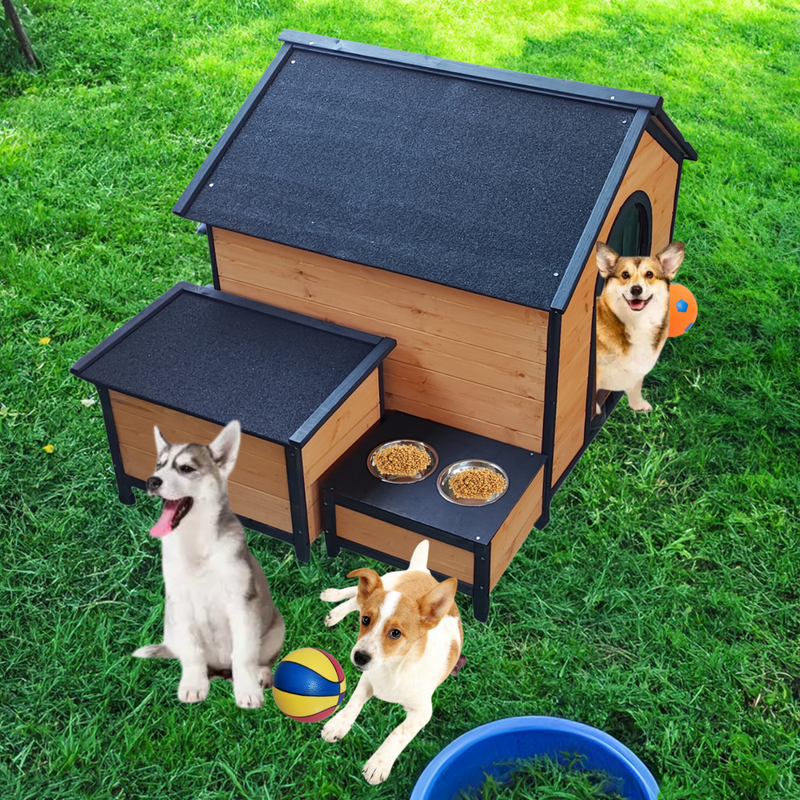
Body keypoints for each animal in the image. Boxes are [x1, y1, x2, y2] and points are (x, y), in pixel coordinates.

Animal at [135, 418, 288, 708]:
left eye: (186, 468)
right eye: (159, 465)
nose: (151, 481)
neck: (196, 544)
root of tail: (220, 671)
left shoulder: (241, 603)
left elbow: (243, 653)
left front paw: (248, 692)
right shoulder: (180, 603)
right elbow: (193, 652)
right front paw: (193, 687)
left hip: (275, 629)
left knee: (260, 659)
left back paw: (260, 675)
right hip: (170, 624)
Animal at [322, 540, 466, 784]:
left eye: (396, 633)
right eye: (365, 620)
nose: (359, 656)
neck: (393, 669)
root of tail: (421, 570)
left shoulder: (422, 712)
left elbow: (399, 733)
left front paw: (379, 764)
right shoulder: (367, 678)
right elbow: (353, 702)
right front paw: (338, 724)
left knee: (356, 598)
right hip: (387, 580)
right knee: (356, 595)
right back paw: (333, 599)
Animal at [592, 239, 688, 412]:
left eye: (649, 274)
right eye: (625, 274)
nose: (636, 289)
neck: (637, 322)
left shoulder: (637, 371)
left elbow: (635, 386)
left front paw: (638, 405)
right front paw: (594, 412)